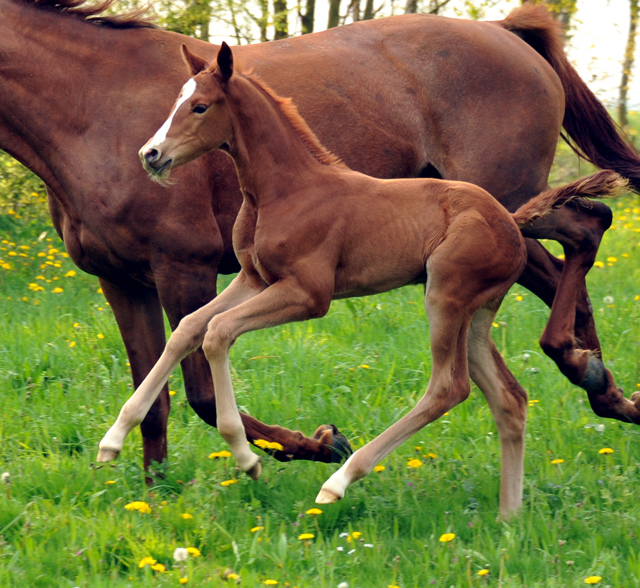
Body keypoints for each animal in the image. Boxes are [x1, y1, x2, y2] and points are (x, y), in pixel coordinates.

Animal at [3, 1, 640, 468]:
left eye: (199, 106)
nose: (152, 157)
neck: (95, 102)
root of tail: (507, 32)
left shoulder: (184, 268)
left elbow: (201, 387)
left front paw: (313, 445)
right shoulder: (120, 280)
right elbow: (156, 396)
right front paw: (154, 496)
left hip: (505, 203)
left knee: (581, 235)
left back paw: (593, 377)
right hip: (505, 214)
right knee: (584, 232)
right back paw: (602, 382)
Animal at [99, 43, 624, 516]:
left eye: (200, 106)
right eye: (177, 100)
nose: (151, 154)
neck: (286, 190)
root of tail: (511, 222)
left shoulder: (308, 295)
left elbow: (217, 333)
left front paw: (247, 457)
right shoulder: (253, 279)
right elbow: (190, 328)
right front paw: (112, 440)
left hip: (446, 296)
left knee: (448, 387)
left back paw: (339, 481)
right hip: (476, 312)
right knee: (509, 397)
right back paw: (508, 519)